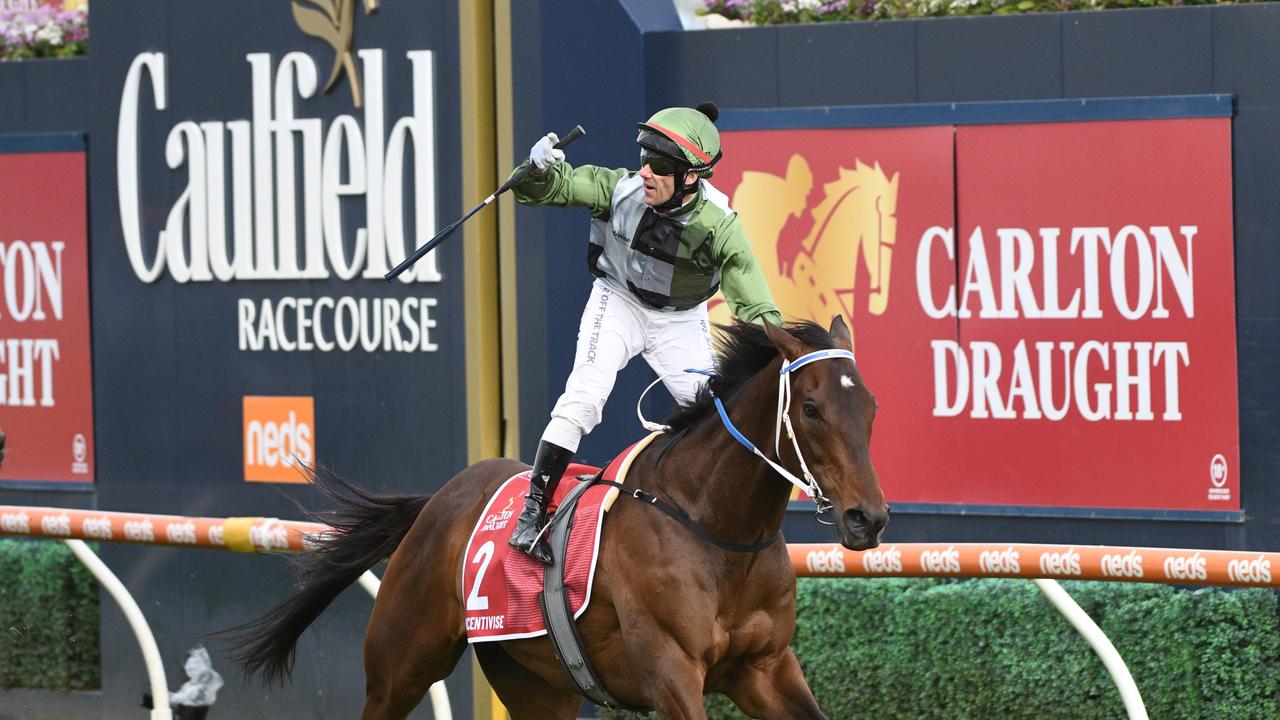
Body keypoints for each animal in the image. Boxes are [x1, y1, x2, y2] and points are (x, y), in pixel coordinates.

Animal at [227, 316, 890, 712]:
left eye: (872, 406)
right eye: (811, 408)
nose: (869, 518)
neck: (718, 528)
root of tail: (439, 498)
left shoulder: (765, 667)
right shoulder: (672, 671)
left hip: (534, 681)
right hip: (401, 665)